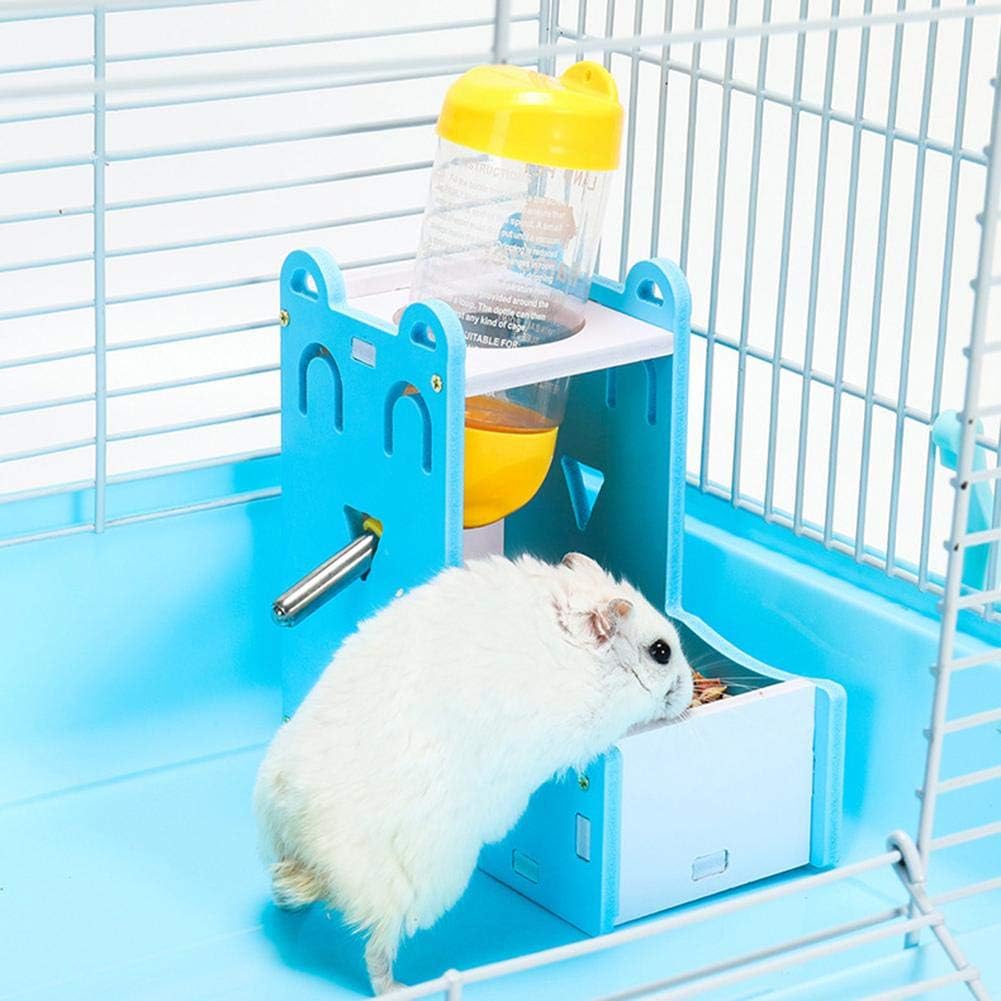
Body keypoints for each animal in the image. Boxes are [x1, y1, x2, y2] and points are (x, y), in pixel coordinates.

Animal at [254, 551, 693, 995]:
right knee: (376, 951)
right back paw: (400, 988)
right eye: (661, 651)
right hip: (416, 888)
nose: (692, 691)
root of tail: (308, 849)